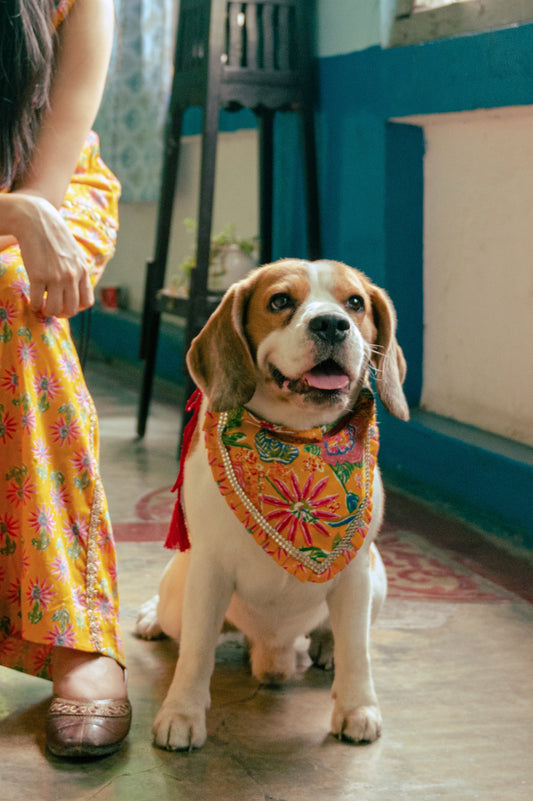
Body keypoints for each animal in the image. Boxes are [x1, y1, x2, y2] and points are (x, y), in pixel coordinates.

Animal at [136, 260, 408, 752]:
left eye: (355, 303)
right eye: (280, 301)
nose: (332, 324)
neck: (297, 438)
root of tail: (270, 650)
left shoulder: (356, 576)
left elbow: (357, 651)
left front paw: (357, 707)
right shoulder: (209, 573)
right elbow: (197, 654)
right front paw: (181, 713)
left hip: (377, 581)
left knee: (337, 634)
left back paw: (324, 645)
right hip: (179, 594)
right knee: (175, 623)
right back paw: (151, 617)